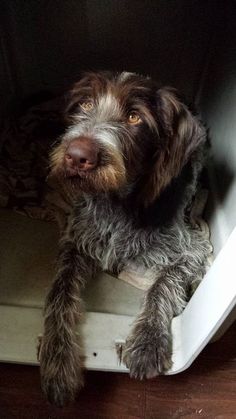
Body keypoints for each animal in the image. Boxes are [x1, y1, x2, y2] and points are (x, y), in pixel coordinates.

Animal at [38, 71, 210, 406]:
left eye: (134, 117)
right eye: (86, 104)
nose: (77, 156)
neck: (116, 204)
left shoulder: (194, 250)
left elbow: (162, 283)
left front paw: (148, 340)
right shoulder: (75, 241)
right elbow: (59, 292)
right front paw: (57, 357)